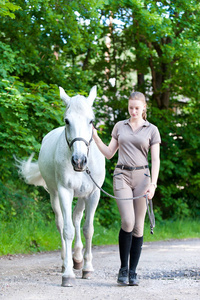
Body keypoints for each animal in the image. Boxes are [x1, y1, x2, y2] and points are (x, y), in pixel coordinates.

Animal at [17, 85, 104, 288]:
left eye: (91, 120)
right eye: (67, 120)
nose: (79, 161)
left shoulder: (93, 194)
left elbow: (88, 229)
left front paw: (87, 268)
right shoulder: (65, 191)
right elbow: (67, 230)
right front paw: (68, 274)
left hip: (82, 196)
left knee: (77, 218)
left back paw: (78, 258)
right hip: (54, 195)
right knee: (62, 222)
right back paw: (67, 260)